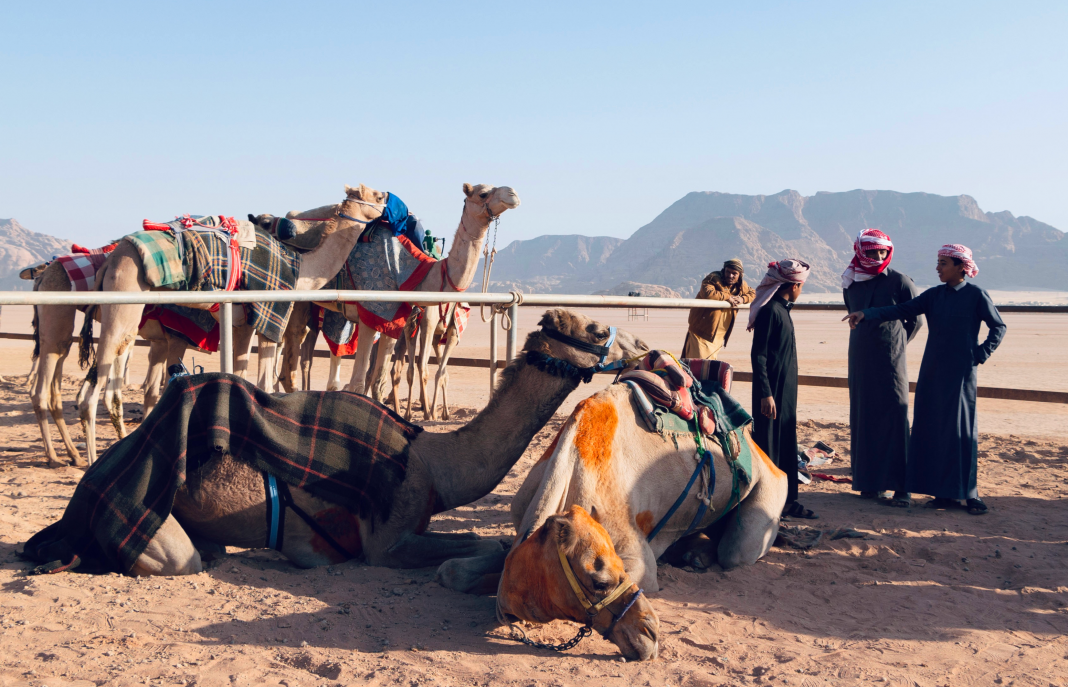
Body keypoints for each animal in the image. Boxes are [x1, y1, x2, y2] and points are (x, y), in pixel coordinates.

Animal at [76, 184, 388, 464]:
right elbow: (264, 383)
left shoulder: (242, 322)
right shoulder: (268, 315)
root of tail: (112, 261)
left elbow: (240, 374)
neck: (302, 270)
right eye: (376, 196)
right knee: (92, 395)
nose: (388, 200)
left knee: (100, 388)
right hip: (124, 304)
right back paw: (91, 460)